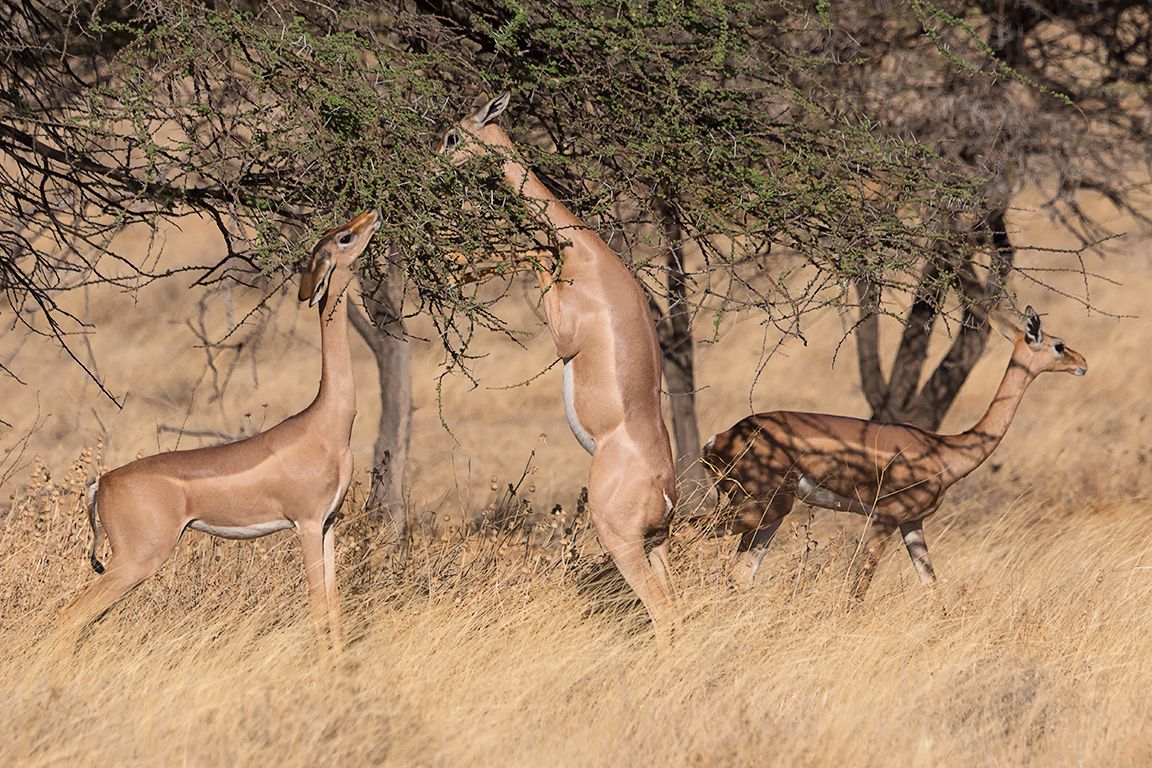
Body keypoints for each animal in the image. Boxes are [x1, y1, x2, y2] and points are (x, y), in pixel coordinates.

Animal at [59, 209, 382, 648]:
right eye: (345, 237)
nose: (372, 214)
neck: (328, 426)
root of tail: (101, 483)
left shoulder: (329, 523)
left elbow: (334, 607)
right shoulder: (307, 523)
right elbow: (318, 608)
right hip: (138, 559)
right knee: (70, 615)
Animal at [438, 94, 679, 635]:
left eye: (452, 136)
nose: (429, 168)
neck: (587, 255)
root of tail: (665, 491)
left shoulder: (565, 339)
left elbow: (533, 254)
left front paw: (459, 263)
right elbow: (532, 249)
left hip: (622, 542)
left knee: (660, 611)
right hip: (657, 544)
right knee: (678, 608)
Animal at [702, 307, 1087, 598]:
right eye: (1058, 345)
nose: (1082, 363)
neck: (946, 450)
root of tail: (718, 439)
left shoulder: (912, 523)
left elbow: (932, 587)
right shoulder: (886, 516)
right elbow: (858, 587)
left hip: (768, 513)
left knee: (740, 573)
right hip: (761, 507)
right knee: (693, 535)